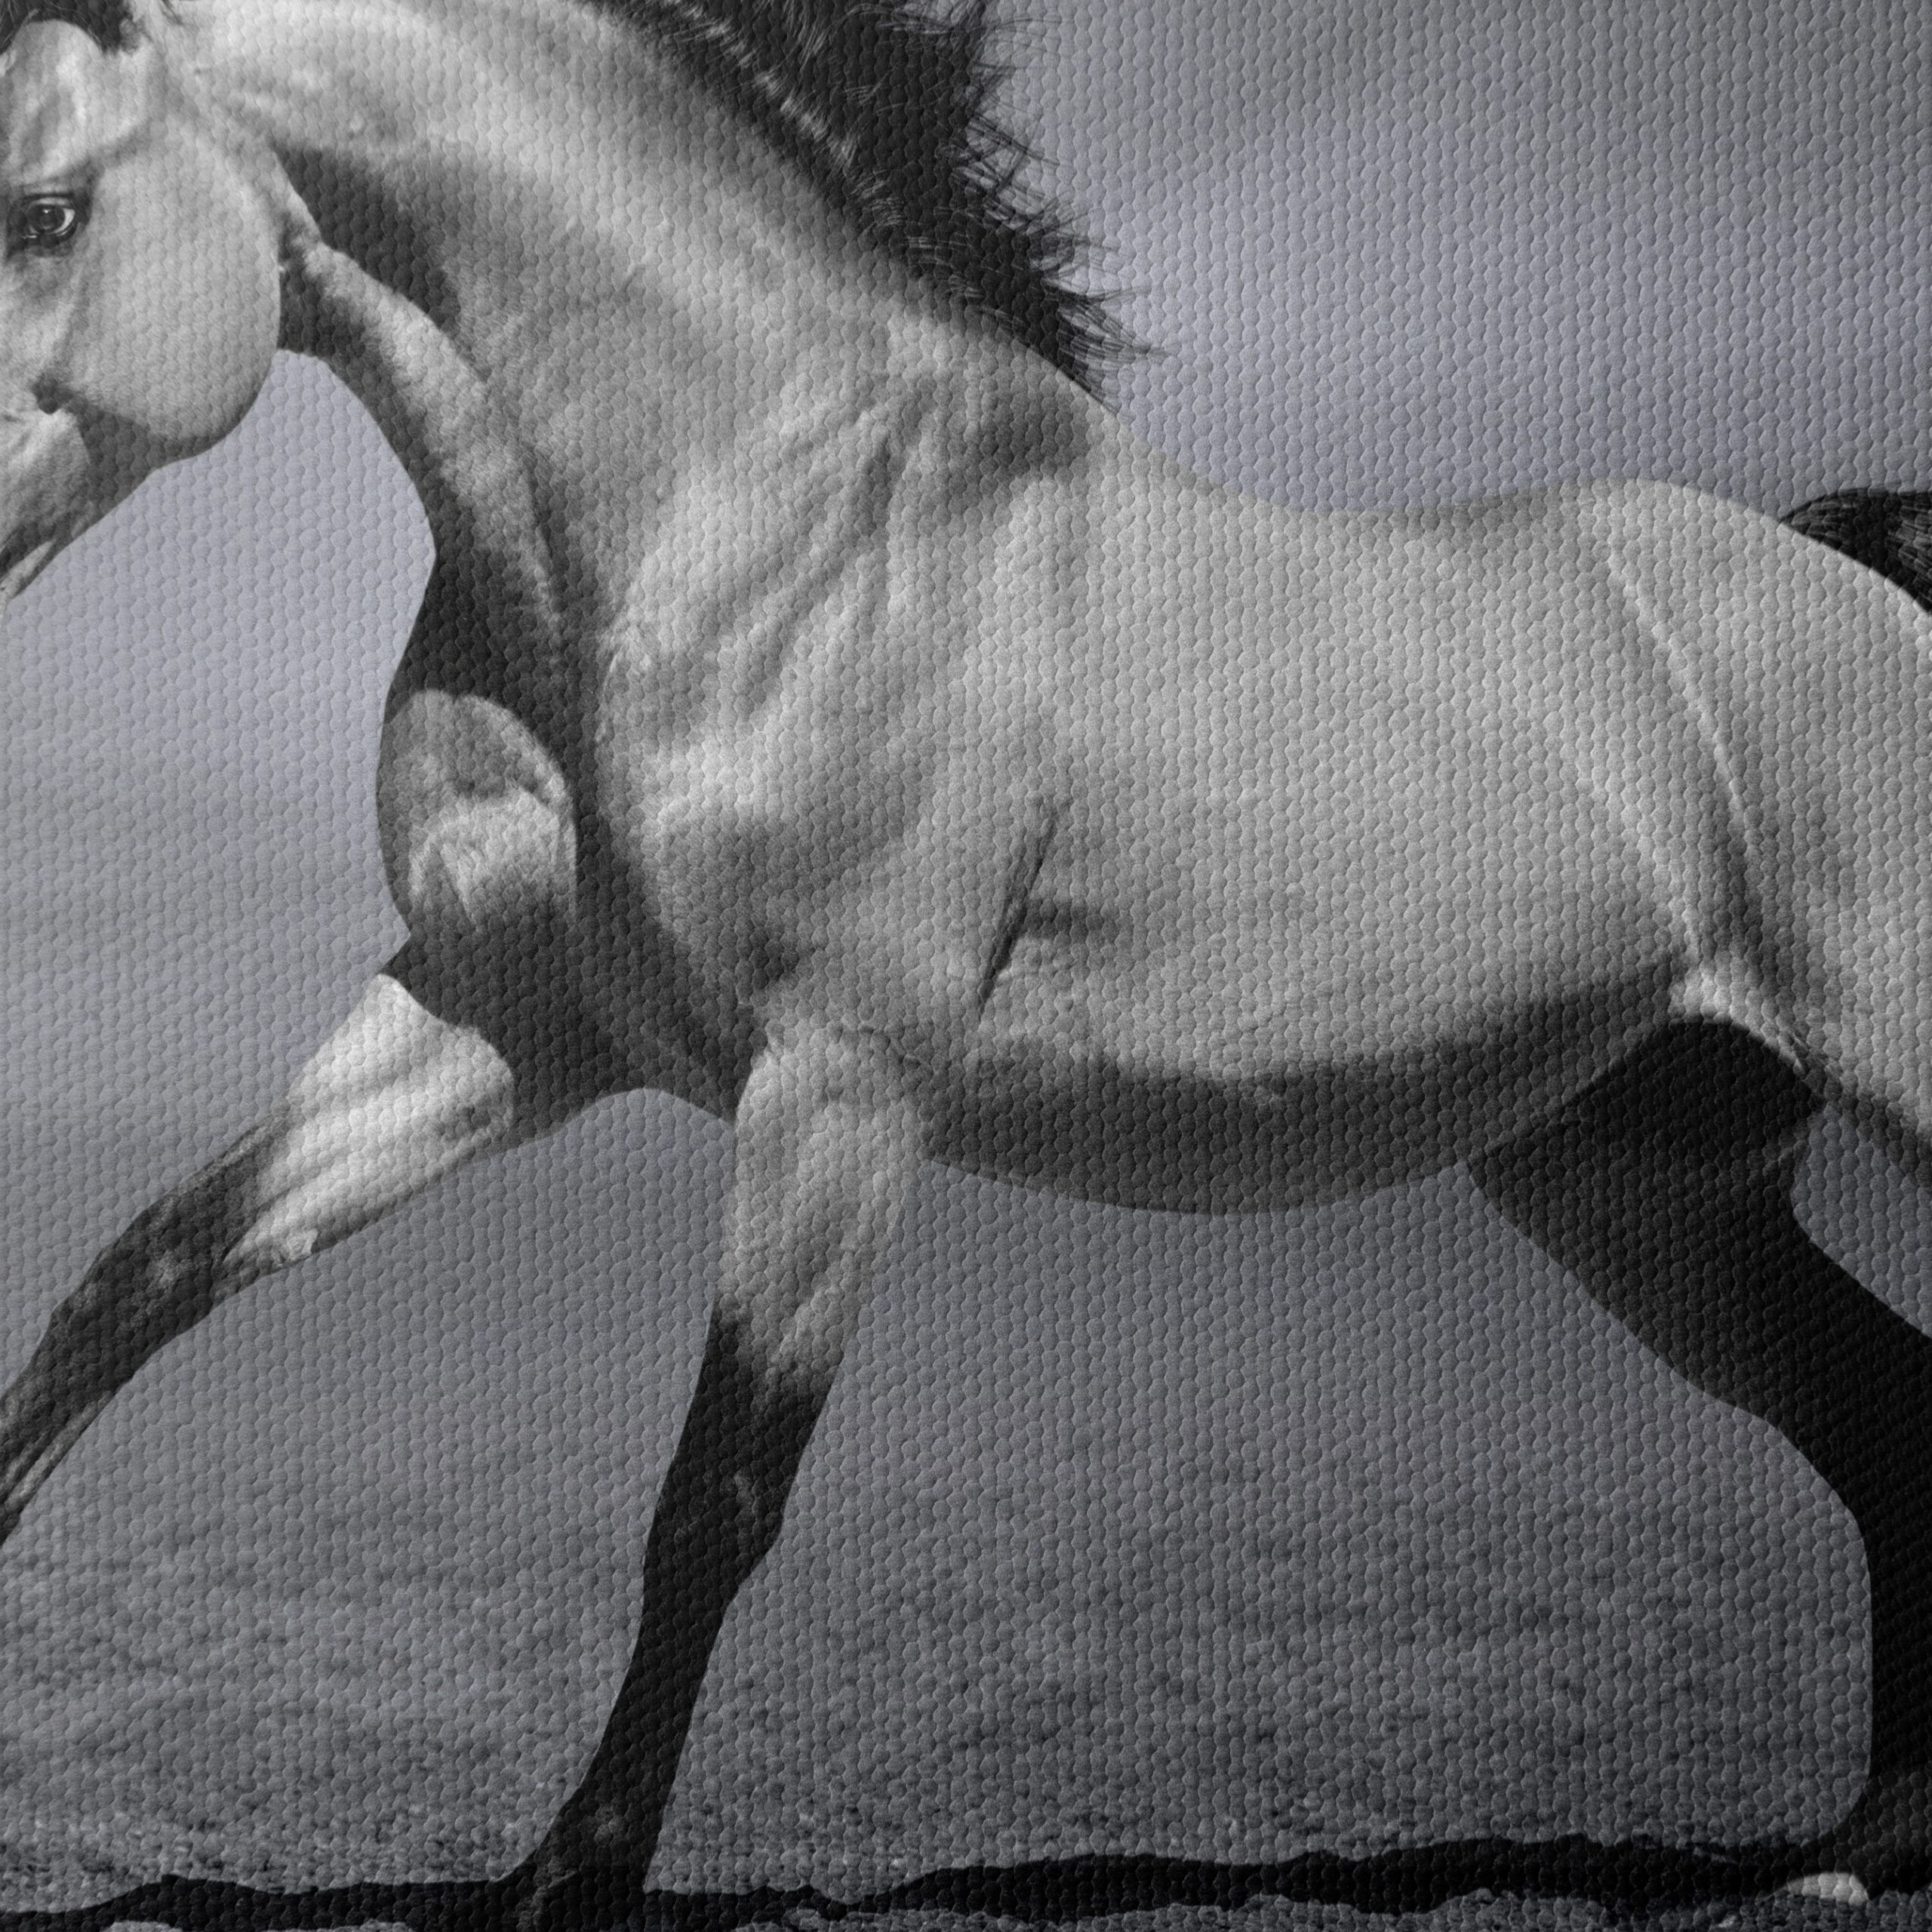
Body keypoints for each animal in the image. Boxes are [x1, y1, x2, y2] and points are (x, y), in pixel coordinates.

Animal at [6, 0, 1932, 1922]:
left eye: (47, 208)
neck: (752, 520)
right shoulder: (508, 1021)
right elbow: (138, 1274)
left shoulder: (841, 1084)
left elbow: (713, 1496)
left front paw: (566, 1876)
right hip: (1637, 1194)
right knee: (1877, 1411)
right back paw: (1846, 1854)